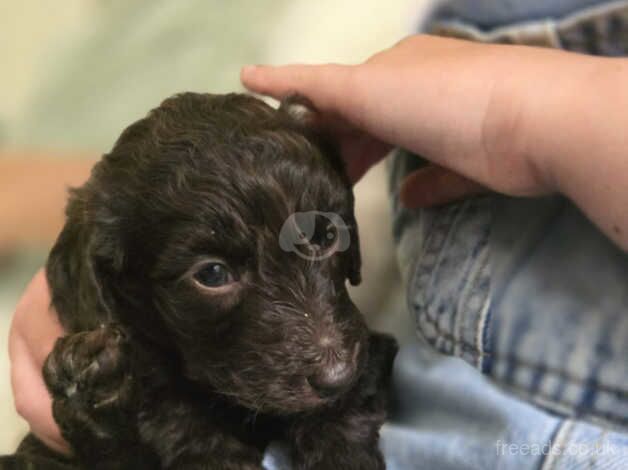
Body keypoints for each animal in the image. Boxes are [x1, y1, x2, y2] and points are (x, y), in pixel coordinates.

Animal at [7, 93, 394, 468]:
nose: (337, 376)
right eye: (212, 274)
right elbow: (170, 413)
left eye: (328, 236)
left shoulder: (370, 350)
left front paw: (339, 447)